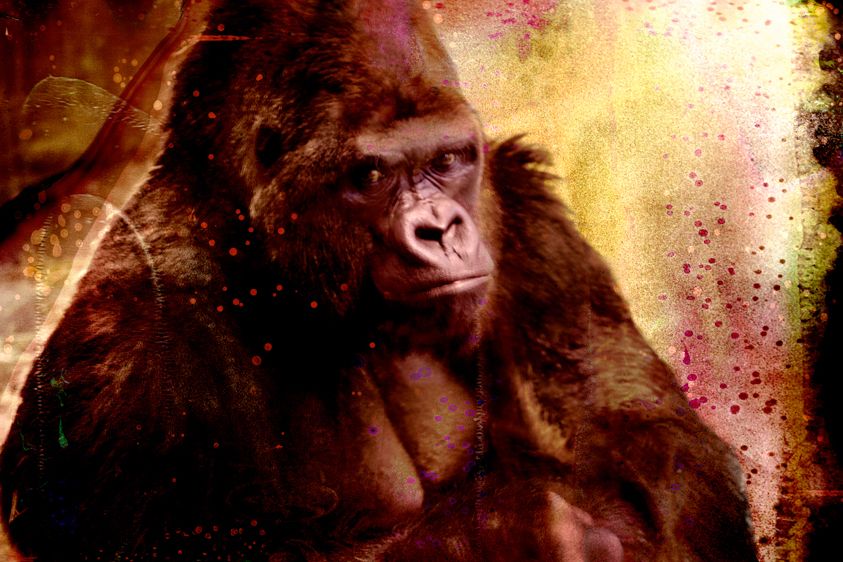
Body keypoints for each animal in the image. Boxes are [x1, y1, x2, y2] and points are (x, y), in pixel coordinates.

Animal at [0, 1, 758, 560]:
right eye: (369, 174)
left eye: (448, 159)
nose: (441, 229)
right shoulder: (128, 338)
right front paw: (505, 533)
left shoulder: (523, 211)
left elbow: (651, 447)